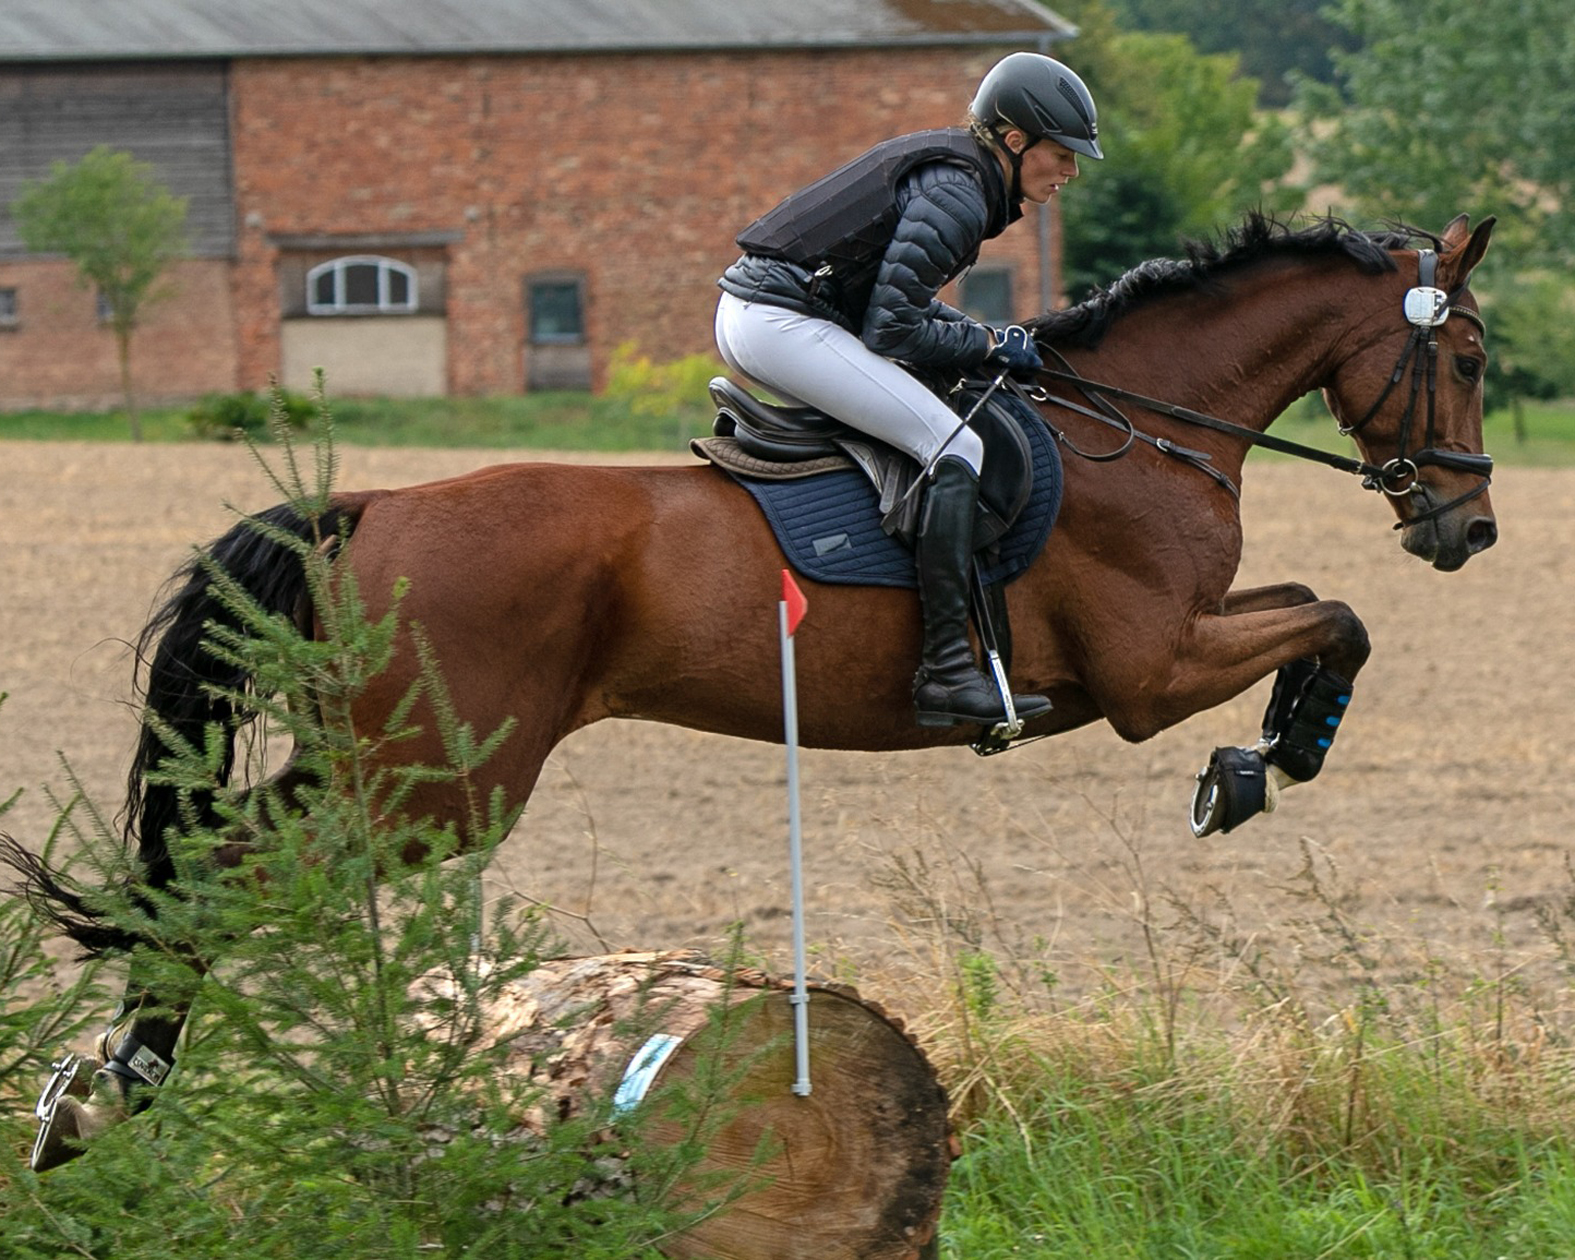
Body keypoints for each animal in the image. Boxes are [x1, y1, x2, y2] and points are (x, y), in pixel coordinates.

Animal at [8, 211, 1497, 1168]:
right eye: (1472, 359)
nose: (1465, 530)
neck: (1138, 428)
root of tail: (365, 508)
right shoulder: (1149, 667)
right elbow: (1339, 618)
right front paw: (1259, 764)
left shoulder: (1173, 643)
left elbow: (1323, 611)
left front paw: (1268, 747)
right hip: (438, 786)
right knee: (215, 875)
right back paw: (114, 1093)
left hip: (389, 768)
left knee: (202, 862)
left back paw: (99, 1098)